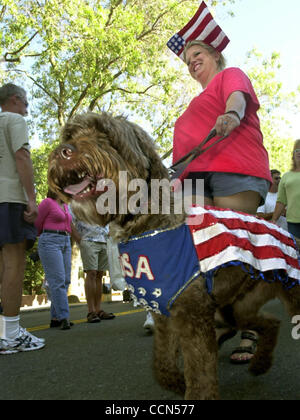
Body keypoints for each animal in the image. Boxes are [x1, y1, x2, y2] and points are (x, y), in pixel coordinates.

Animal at [47, 112, 300, 400]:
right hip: (237, 307)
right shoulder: (165, 315)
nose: (63, 151)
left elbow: (200, 377)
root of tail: (282, 231)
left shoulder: (192, 316)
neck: (146, 222)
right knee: (271, 322)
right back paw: (260, 364)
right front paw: (179, 383)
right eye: (69, 135)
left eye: (106, 135)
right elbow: (163, 367)